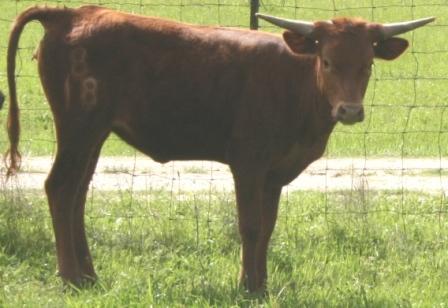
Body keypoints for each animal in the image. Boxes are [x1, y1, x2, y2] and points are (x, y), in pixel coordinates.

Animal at [5, 4, 434, 294]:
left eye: (367, 65)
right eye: (327, 60)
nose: (350, 110)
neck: (296, 82)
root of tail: (73, 13)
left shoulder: (274, 174)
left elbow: (267, 227)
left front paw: (261, 284)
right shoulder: (248, 163)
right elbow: (250, 224)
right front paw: (247, 286)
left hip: (94, 133)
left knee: (77, 194)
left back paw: (89, 275)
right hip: (78, 127)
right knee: (60, 188)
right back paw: (70, 277)